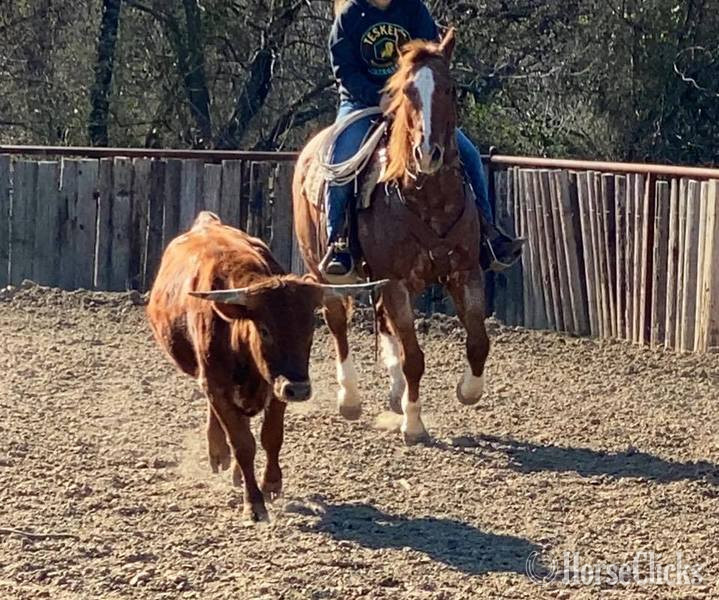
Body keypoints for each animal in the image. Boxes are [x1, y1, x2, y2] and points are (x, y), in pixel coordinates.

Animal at [292, 29, 489, 444]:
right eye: (406, 91)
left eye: (449, 88)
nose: (427, 152)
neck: (426, 197)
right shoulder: (395, 280)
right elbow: (415, 356)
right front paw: (413, 424)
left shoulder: (465, 272)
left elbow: (478, 340)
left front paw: (468, 390)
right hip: (323, 269)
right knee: (338, 323)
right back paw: (350, 399)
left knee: (384, 323)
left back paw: (396, 393)